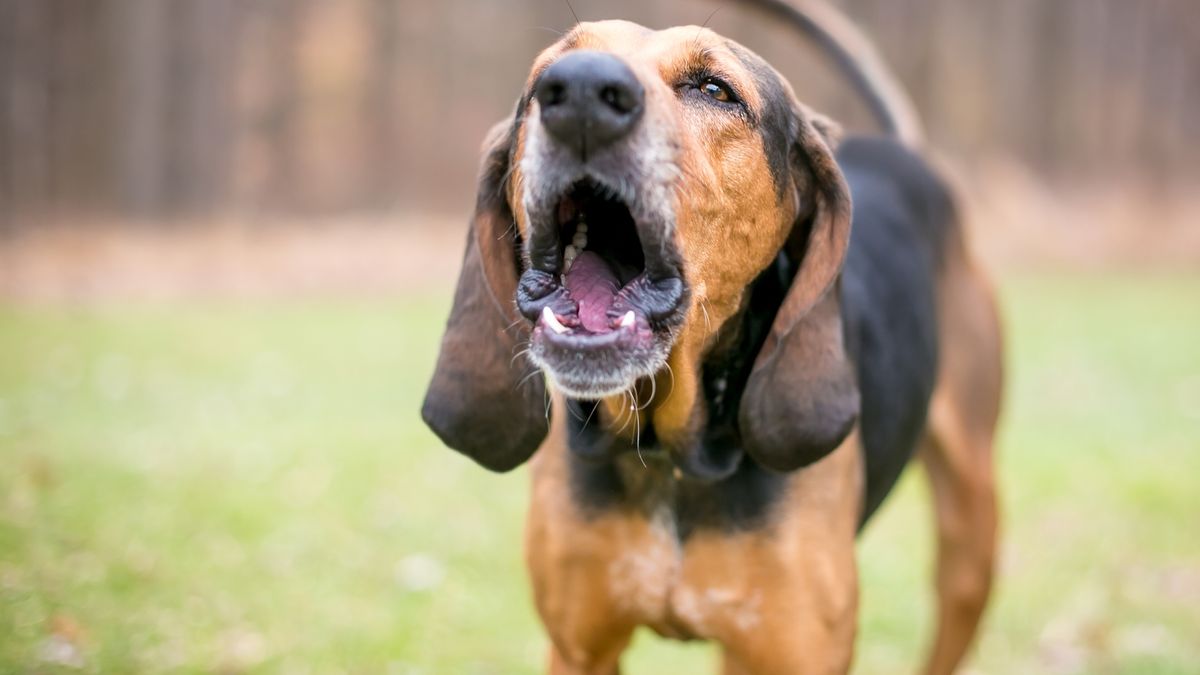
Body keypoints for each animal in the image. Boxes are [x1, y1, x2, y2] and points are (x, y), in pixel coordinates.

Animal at [422, 1, 1003, 667]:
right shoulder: (578, 649)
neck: (669, 458)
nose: (579, 90)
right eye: (542, 78)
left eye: (713, 89)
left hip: (971, 540)